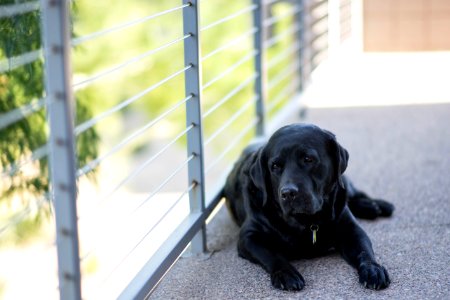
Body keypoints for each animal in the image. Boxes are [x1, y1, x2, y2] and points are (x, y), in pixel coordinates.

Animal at [222, 123, 394, 292]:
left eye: (308, 159)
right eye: (275, 166)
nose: (288, 193)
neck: (305, 222)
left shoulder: (351, 229)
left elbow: (364, 251)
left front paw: (373, 269)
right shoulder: (249, 237)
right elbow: (271, 255)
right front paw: (286, 273)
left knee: (355, 194)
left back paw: (378, 205)